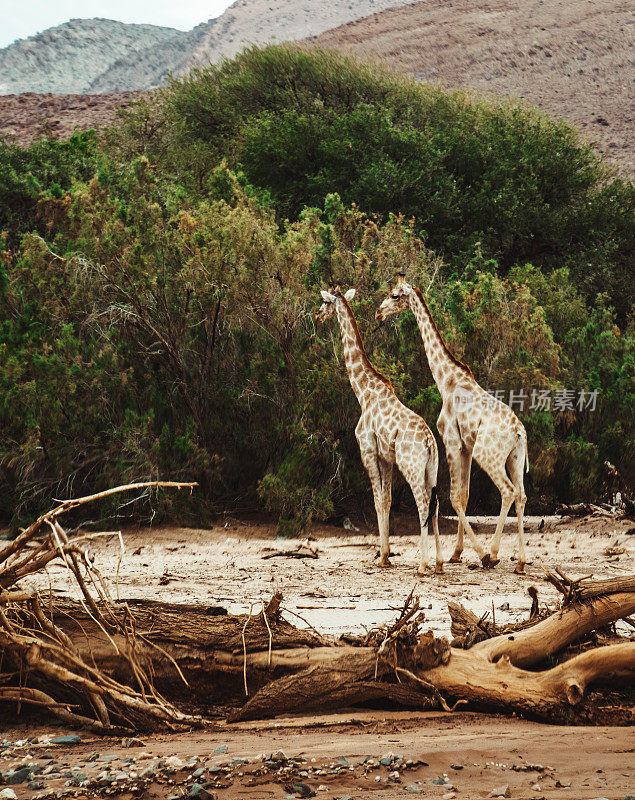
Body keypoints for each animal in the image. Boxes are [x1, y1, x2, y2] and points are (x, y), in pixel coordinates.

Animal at [316, 284, 444, 572]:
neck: (363, 392)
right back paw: (440, 563)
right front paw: (386, 556)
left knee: (422, 503)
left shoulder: (368, 450)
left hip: (411, 466)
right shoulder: (386, 458)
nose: (317, 316)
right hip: (431, 470)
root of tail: (429, 442)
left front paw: (383, 556)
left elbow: (376, 500)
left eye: (325, 303)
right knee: (436, 504)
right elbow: (386, 501)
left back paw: (423, 565)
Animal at [378, 276, 532, 576]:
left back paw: (493, 553)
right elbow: (466, 494)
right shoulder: (466, 447)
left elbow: (454, 497)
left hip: (489, 455)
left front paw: (479, 554)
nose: (378, 313)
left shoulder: (450, 440)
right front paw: (457, 553)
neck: (446, 379)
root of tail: (519, 432)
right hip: (514, 457)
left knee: (507, 491)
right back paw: (520, 562)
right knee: (521, 495)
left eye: (394, 295)